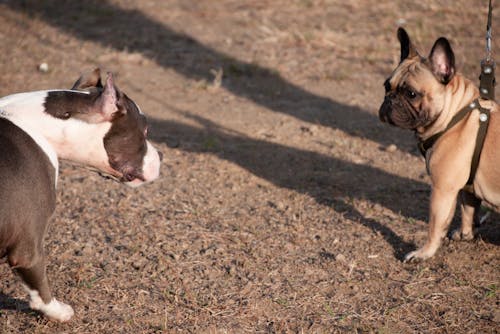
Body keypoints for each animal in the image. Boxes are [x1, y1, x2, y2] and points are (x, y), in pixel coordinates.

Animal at [380, 28, 498, 262]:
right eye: (386, 86)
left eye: (411, 94)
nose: (389, 99)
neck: (454, 115)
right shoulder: (466, 187)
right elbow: (468, 209)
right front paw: (465, 234)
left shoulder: (442, 190)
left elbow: (435, 226)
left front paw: (424, 253)